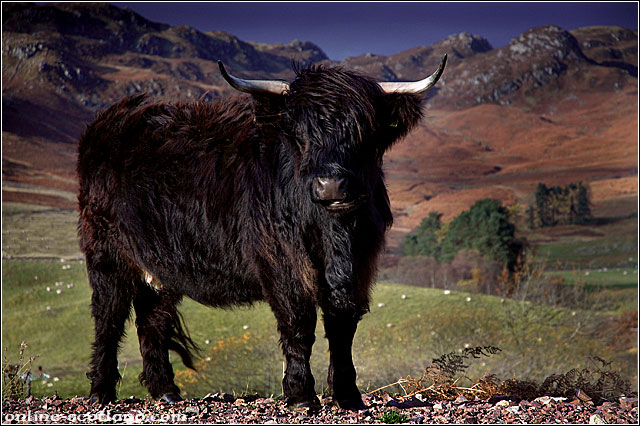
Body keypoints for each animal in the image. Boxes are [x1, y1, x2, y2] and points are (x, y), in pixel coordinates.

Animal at [77, 55, 447, 410]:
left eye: (364, 132)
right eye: (300, 135)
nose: (331, 185)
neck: (336, 234)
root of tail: (111, 119)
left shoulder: (359, 265)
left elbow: (343, 328)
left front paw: (348, 396)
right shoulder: (282, 262)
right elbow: (299, 324)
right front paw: (301, 395)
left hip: (160, 266)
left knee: (152, 319)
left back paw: (166, 392)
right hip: (106, 255)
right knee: (108, 318)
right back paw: (100, 391)